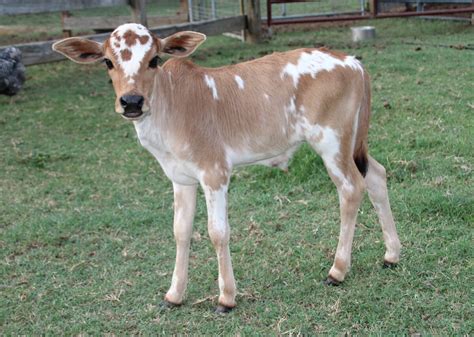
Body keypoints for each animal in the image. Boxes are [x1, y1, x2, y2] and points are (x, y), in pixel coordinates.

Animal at [52, 23, 400, 312]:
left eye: (154, 59)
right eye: (107, 62)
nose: (132, 102)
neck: (169, 112)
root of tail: (352, 62)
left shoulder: (215, 171)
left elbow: (217, 232)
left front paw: (226, 298)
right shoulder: (180, 177)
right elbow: (181, 230)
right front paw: (174, 295)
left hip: (331, 140)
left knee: (351, 188)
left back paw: (337, 270)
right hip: (352, 142)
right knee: (376, 175)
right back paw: (391, 255)